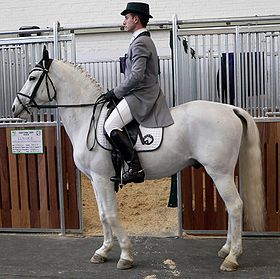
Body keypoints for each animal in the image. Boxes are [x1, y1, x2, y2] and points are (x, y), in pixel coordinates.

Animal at [10, 54, 264, 272]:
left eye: (32, 78)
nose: (14, 107)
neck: (87, 119)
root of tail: (230, 108)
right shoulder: (94, 179)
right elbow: (102, 214)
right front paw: (103, 251)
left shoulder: (102, 178)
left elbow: (111, 215)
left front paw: (125, 255)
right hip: (222, 173)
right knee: (231, 207)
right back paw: (225, 249)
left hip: (219, 172)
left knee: (235, 206)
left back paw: (232, 258)